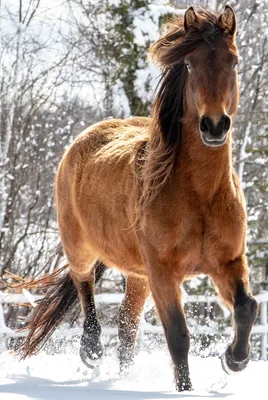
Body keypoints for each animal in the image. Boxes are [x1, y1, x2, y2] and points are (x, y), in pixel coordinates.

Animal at [17, 5, 258, 390]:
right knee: (84, 285)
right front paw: (186, 390)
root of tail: (84, 139)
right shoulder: (163, 273)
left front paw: (233, 359)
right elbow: (178, 337)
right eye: (189, 63)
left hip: (138, 276)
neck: (201, 195)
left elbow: (247, 306)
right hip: (81, 247)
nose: (214, 125)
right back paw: (91, 349)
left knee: (127, 326)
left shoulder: (228, 262)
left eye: (233, 61)